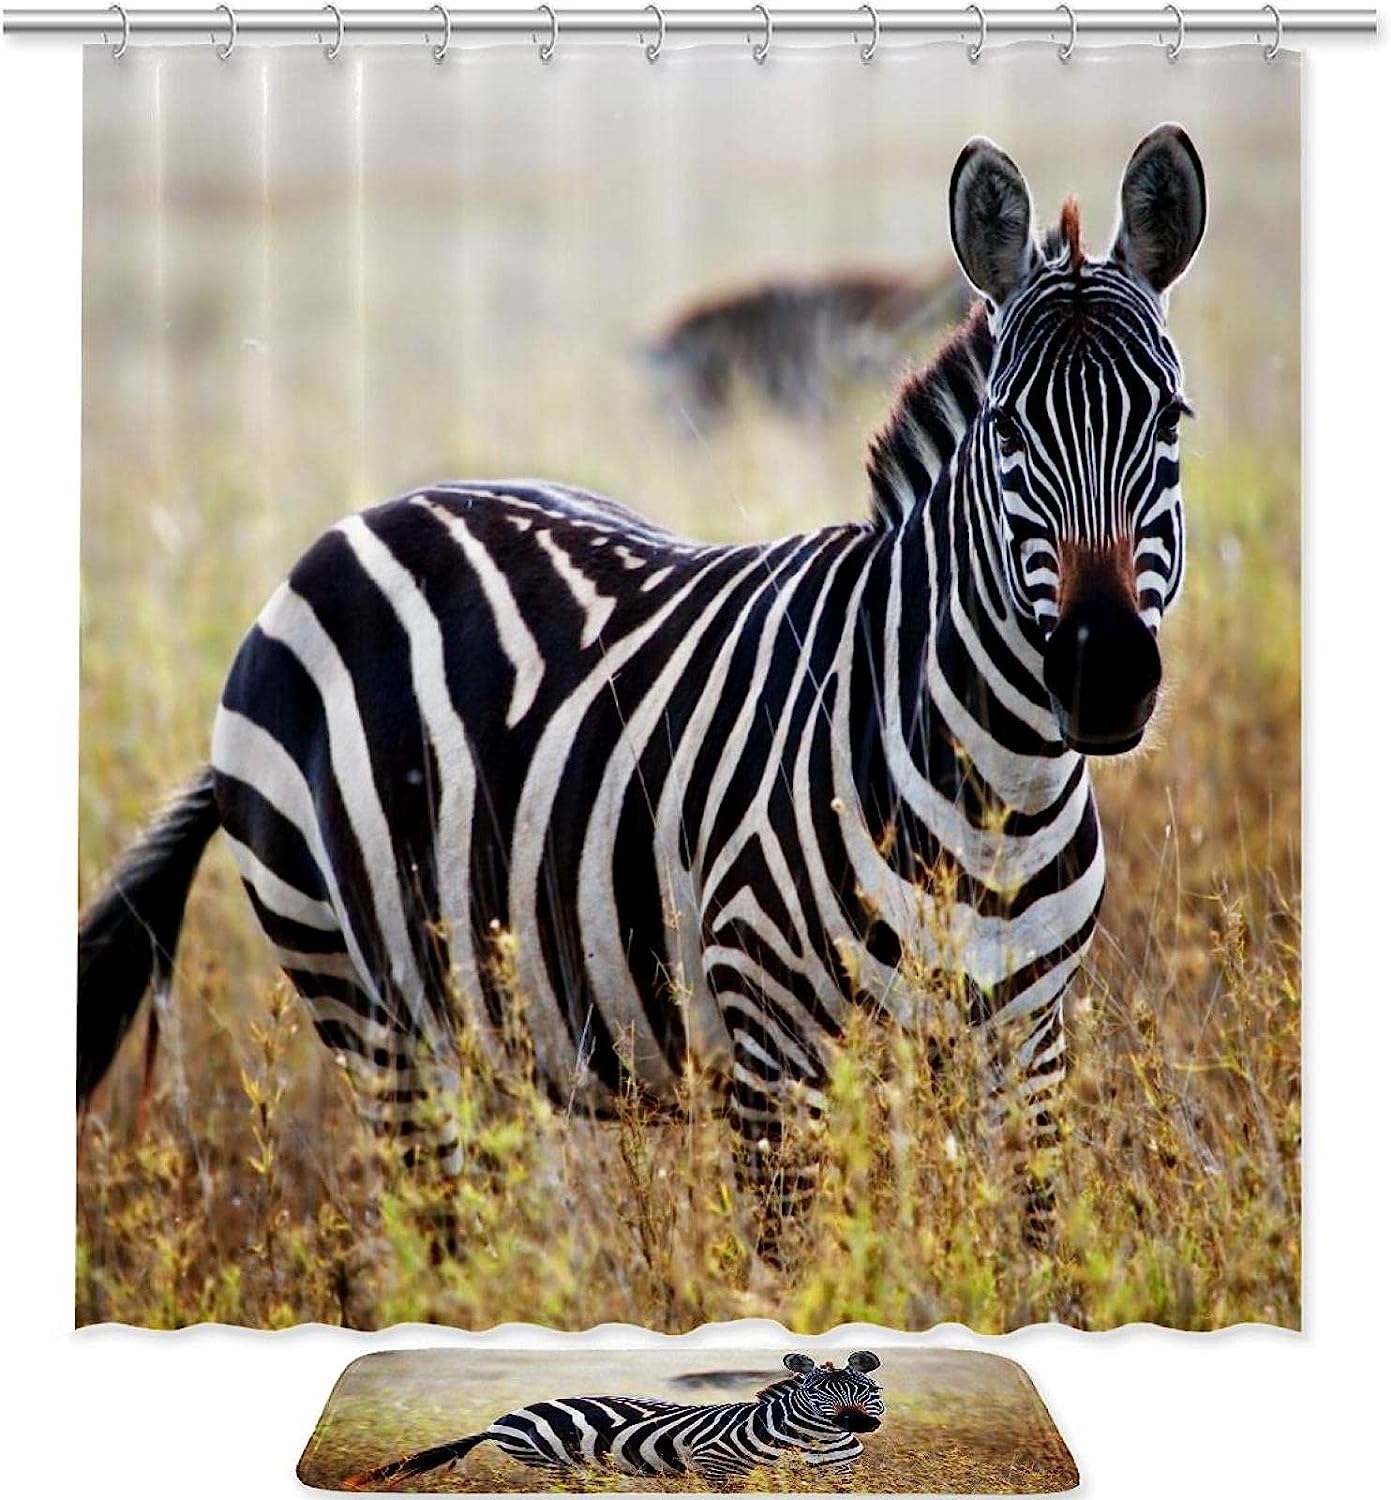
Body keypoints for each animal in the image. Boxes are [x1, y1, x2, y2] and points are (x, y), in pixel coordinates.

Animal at [77, 125, 1206, 1249]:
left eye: (1171, 421)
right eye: (1008, 431)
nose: (1102, 675)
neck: (995, 794)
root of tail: (348, 531)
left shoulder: (1028, 1048)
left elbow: (1029, 1253)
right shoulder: (774, 1052)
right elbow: (795, 1271)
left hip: (484, 1021)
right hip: (367, 1007)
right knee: (430, 1238)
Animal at [342, 1351, 885, 1489]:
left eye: (869, 1392)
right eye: (818, 1394)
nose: (861, 1424)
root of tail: (501, 1419)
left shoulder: (840, 1475)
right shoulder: (715, 1464)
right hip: (553, 1464)